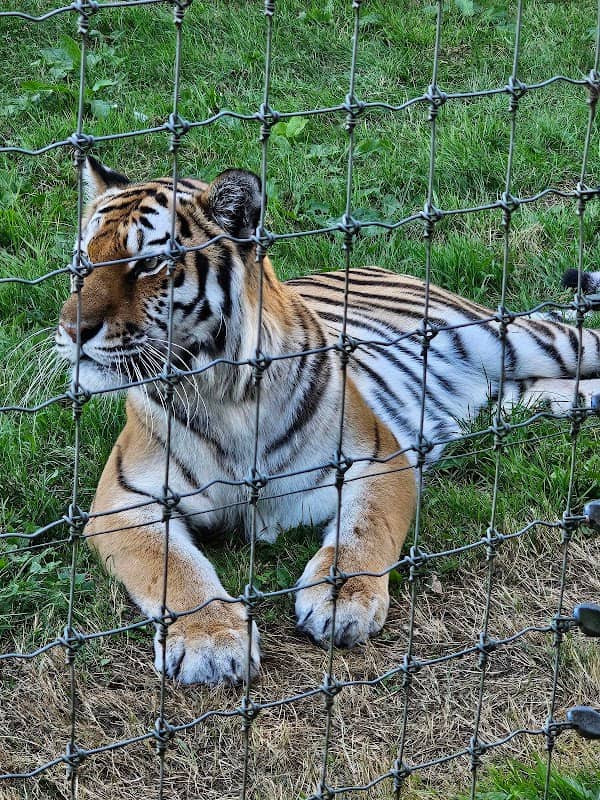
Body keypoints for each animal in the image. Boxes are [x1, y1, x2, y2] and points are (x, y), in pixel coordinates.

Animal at [55, 157, 600, 686]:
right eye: (82, 260)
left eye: (149, 262)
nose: (72, 329)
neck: (223, 393)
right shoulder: (124, 501)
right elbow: (172, 567)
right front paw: (211, 640)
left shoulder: (378, 458)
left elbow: (363, 531)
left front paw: (342, 599)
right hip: (516, 392)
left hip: (527, 340)